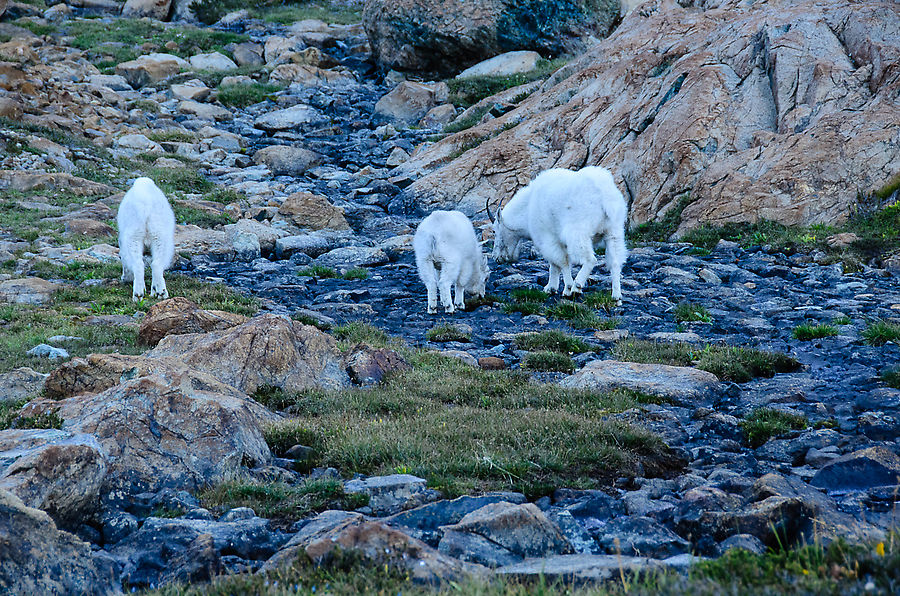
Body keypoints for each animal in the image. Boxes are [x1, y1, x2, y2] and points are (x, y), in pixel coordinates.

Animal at [492, 165, 624, 300]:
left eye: (494, 231)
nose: (496, 258)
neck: (528, 207)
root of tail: (604, 195)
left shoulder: (547, 238)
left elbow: (561, 262)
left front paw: (567, 288)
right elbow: (555, 265)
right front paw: (551, 288)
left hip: (577, 232)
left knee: (590, 259)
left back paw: (577, 286)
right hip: (614, 231)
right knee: (615, 262)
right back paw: (616, 296)